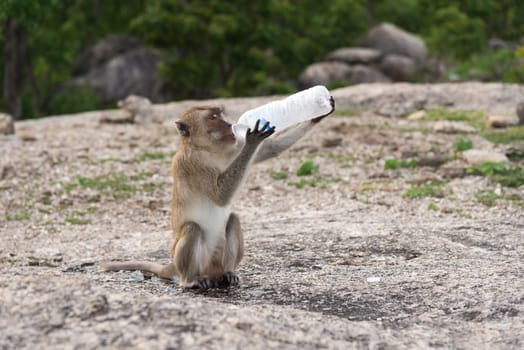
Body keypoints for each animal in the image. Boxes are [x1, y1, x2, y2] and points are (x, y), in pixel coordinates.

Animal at [101, 98, 336, 290]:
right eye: (213, 117)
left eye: (220, 114)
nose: (228, 124)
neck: (208, 149)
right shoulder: (192, 164)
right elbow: (220, 195)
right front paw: (253, 139)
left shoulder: (231, 148)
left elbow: (272, 149)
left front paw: (318, 113)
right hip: (193, 261)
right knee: (192, 229)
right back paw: (191, 281)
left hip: (217, 261)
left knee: (233, 219)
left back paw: (228, 274)